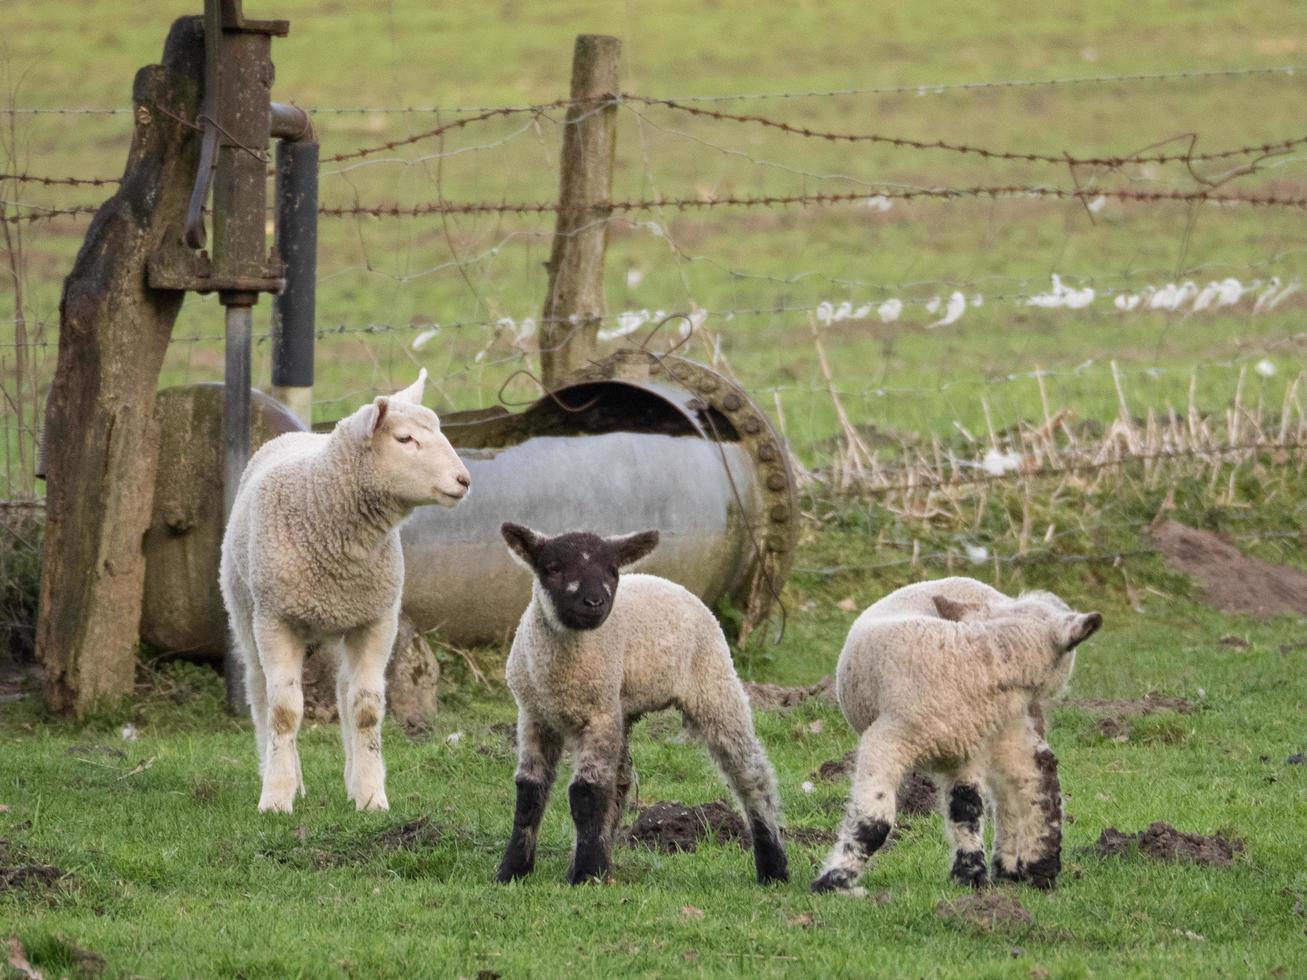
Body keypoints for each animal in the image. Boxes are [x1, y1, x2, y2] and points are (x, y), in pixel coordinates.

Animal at [218, 371, 470, 815]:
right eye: (405, 439)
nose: (464, 481)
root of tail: (296, 436)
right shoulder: (276, 619)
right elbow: (285, 712)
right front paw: (277, 797)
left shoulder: (376, 620)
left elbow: (366, 708)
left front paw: (371, 795)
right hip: (246, 613)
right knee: (260, 692)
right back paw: (280, 775)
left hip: (343, 621)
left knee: (343, 691)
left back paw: (353, 780)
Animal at [494, 525, 784, 888]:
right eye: (553, 568)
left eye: (612, 571)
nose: (595, 602)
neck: (561, 675)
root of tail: (665, 581)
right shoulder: (534, 715)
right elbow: (530, 791)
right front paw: (512, 870)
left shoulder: (599, 713)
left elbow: (586, 793)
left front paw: (586, 875)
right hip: (624, 708)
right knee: (619, 783)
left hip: (714, 684)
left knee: (751, 775)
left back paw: (774, 867)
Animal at [810, 582, 1097, 898]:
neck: (982, 658)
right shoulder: (890, 742)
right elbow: (881, 821)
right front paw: (833, 881)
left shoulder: (970, 745)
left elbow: (968, 807)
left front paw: (974, 874)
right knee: (1015, 788)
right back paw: (1014, 869)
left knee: (1031, 780)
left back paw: (1028, 868)